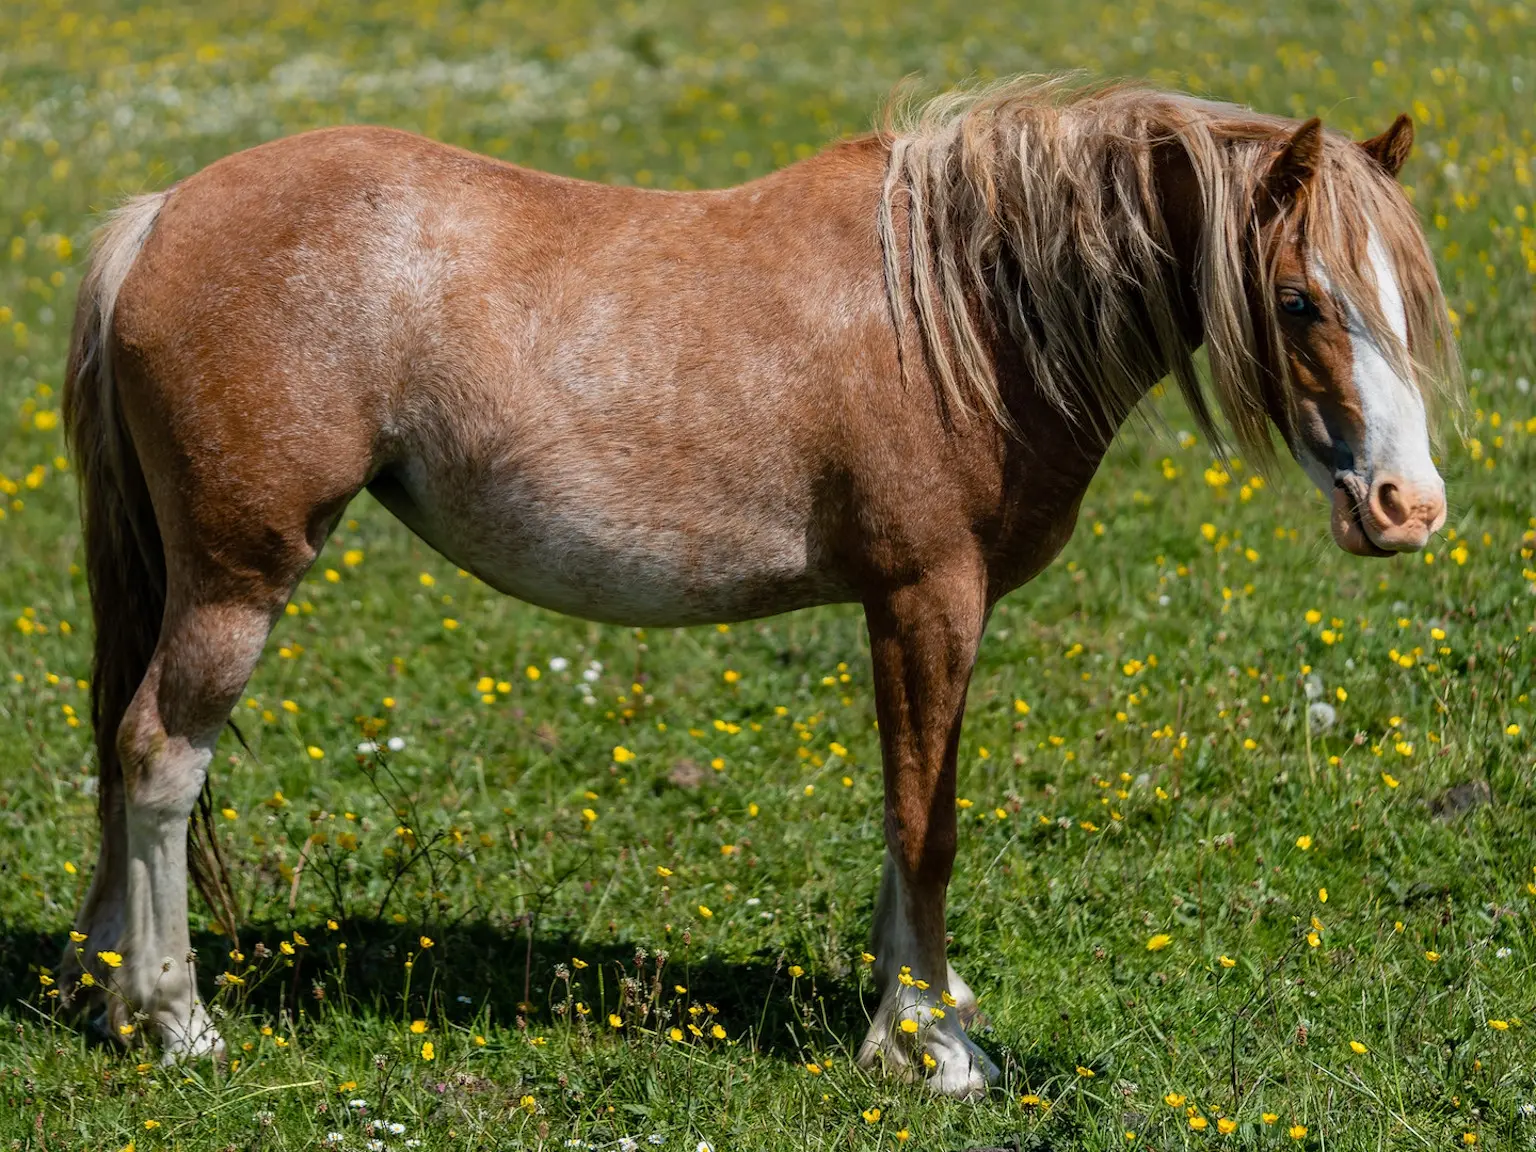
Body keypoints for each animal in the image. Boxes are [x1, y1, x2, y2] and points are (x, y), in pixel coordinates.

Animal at [56, 76, 1449, 1093]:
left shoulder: (916, 610)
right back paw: (176, 1020)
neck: (960, 311)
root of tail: (161, 214)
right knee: (160, 758)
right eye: (1298, 299)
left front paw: (916, 1010)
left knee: (121, 747)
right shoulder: (926, 597)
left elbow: (902, 816)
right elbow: (925, 822)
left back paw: (106, 991)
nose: (1409, 507)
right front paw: (930, 1047)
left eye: (1408, 300)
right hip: (240, 576)